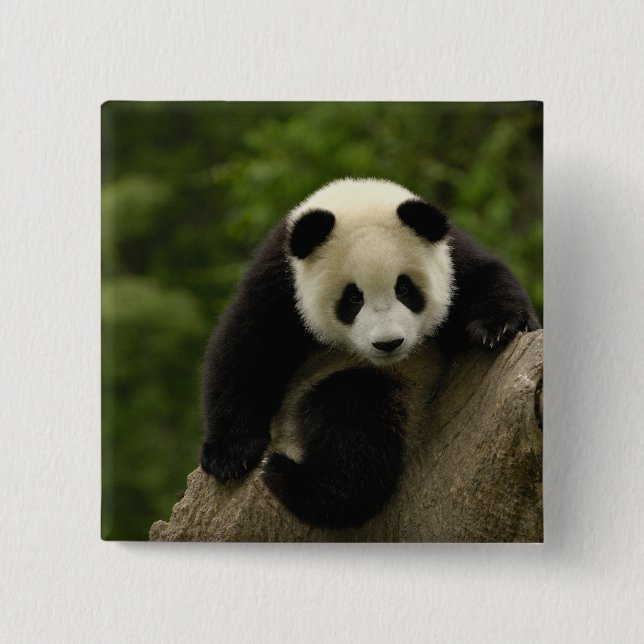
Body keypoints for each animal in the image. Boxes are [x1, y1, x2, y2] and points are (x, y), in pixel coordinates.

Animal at [200, 178, 540, 529]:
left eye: (404, 288)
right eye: (353, 297)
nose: (388, 343)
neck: (356, 197)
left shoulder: (451, 257)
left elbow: (487, 278)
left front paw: (500, 326)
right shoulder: (279, 278)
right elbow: (245, 350)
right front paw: (229, 457)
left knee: (356, 413)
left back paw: (295, 480)